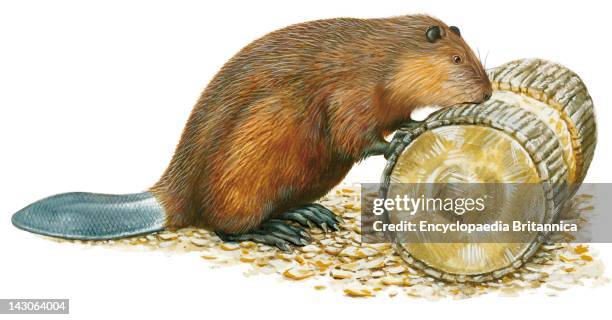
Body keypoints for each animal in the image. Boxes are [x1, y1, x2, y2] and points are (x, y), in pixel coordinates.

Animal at [10, 14, 492, 250]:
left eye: (468, 53)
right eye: (456, 59)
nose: (486, 92)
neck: (382, 53)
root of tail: (167, 200)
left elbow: (391, 119)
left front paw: (414, 123)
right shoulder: (349, 88)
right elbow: (353, 132)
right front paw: (398, 142)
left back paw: (310, 214)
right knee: (225, 227)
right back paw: (278, 233)